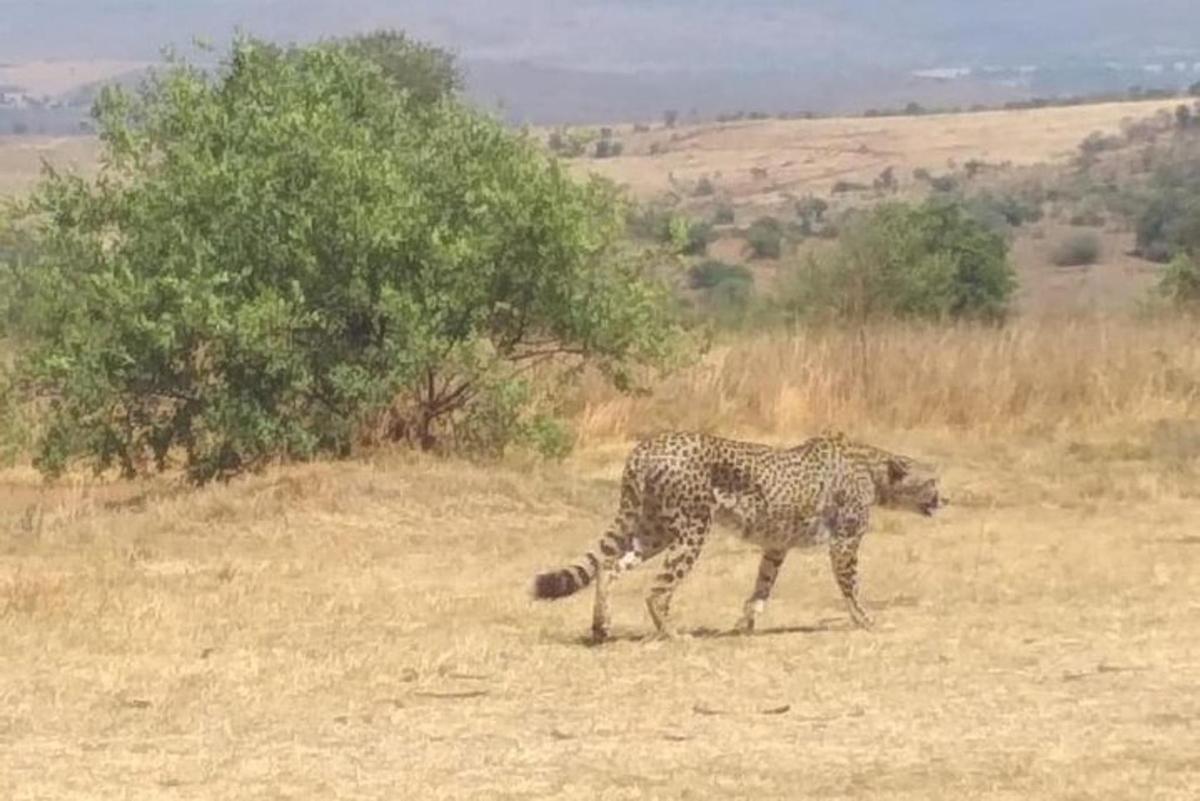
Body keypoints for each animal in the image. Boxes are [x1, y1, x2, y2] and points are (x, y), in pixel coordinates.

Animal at [530, 429, 940, 642]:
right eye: (932, 481)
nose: (943, 498)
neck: (875, 471)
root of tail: (647, 444)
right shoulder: (844, 543)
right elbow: (851, 586)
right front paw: (866, 620)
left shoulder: (776, 545)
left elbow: (762, 587)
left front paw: (745, 625)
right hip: (692, 530)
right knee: (657, 589)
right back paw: (673, 634)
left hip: (654, 531)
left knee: (609, 567)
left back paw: (601, 626)